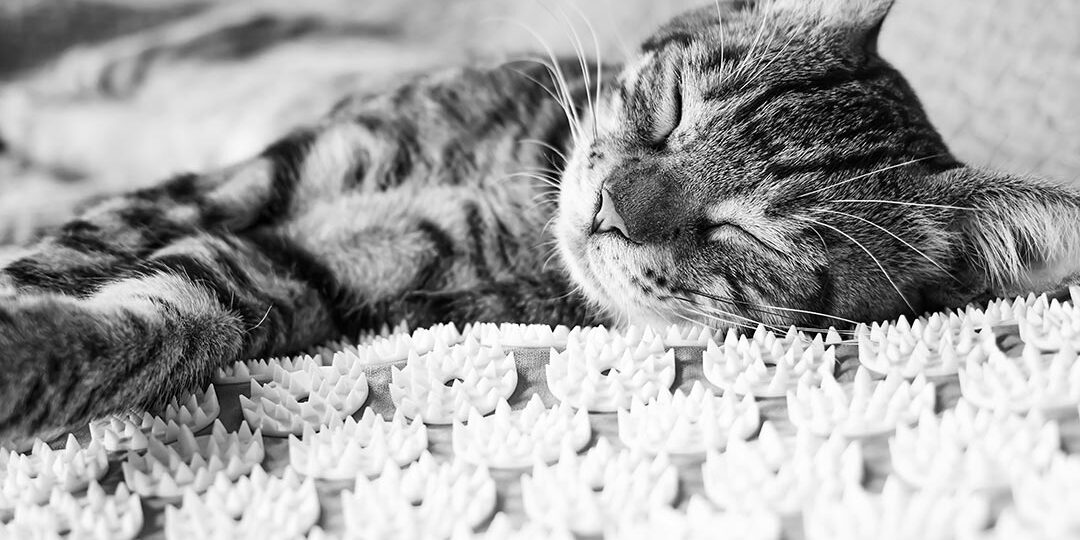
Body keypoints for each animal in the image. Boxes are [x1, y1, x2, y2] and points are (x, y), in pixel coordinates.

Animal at [2, 0, 1080, 440]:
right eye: (673, 107)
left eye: (744, 235)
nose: (608, 212)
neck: (514, 193)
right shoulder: (268, 175)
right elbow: (78, 249)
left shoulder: (298, 274)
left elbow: (164, 321)